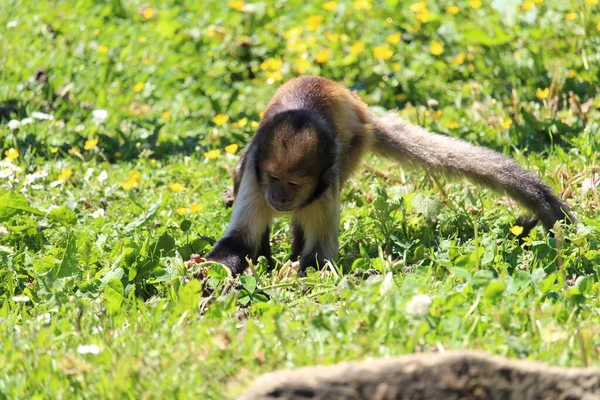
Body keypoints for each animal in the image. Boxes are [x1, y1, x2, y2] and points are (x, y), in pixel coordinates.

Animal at [207, 76, 576, 276]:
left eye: (293, 183)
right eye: (273, 178)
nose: (278, 197)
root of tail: (355, 103)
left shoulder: (326, 183)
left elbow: (320, 258)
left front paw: (297, 270)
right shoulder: (257, 173)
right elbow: (239, 239)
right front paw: (209, 272)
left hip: (352, 146)